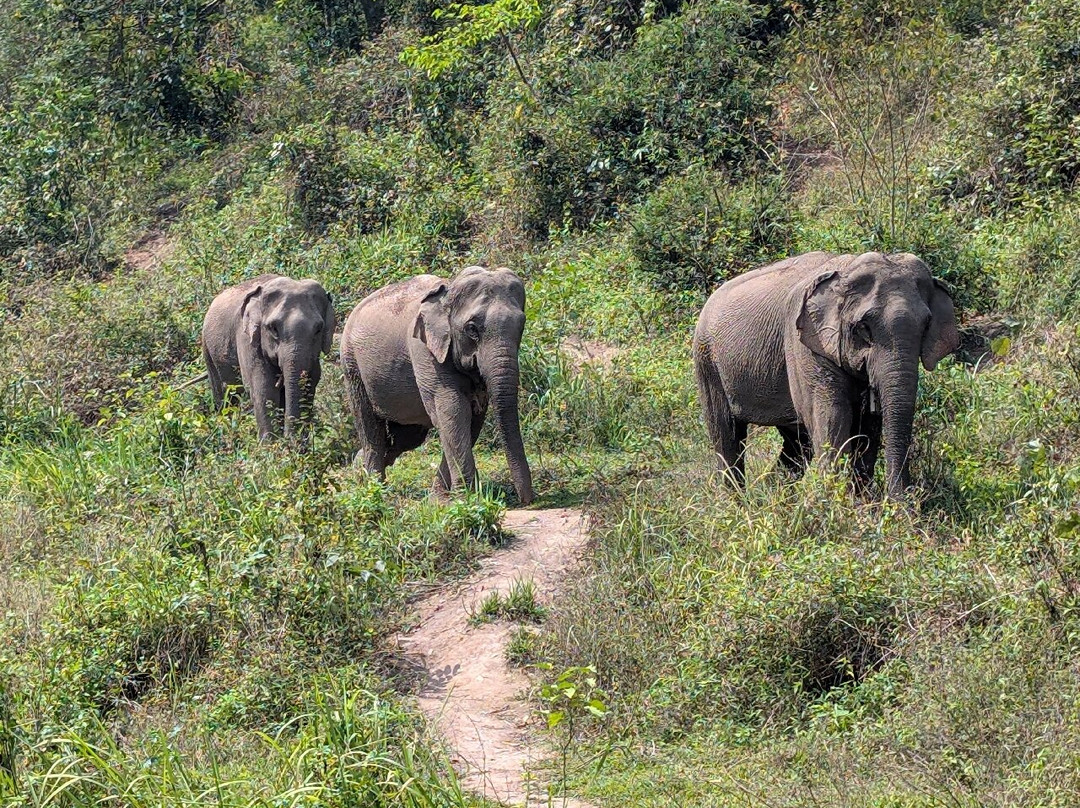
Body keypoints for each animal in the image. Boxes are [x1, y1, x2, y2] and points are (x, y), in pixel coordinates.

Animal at [202, 274, 335, 445]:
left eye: (318, 329)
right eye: (273, 328)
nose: (290, 440)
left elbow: (309, 385)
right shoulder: (248, 340)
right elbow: (264, 389)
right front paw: (271, 446)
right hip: (208, 350)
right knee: (225, 396)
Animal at [340, 266, 535, 505]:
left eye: (522, 325)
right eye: (472, 329)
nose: (528, 500)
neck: (448, 291)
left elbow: (473, 416)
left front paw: (439, 499)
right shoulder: (423, 349)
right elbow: (453, 410)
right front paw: (466, 499)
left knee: (406, 438)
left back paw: (358, 469)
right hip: (352, 366)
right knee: (370, 428)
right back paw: (374, 489)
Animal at [693, 251, 960, 497]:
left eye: (926, 325)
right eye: (863, 327)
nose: (906, 503)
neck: (846, 270)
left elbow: (868, 427)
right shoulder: (804, 343)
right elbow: (832, 417)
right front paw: (841, 503)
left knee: (797, 446)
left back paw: (776, 494)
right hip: (707, 363)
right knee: (727, 436)